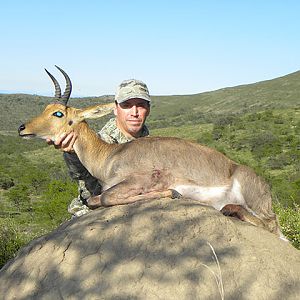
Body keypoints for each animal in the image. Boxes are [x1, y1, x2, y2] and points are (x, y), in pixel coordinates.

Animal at [18, 66, 286, 239]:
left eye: (58, 113)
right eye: (46, 108)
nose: (22, 128)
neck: (110, 156)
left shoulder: (140, 179)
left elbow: (104, 198)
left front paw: (171, 192)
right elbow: (96, 199)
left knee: (272, 226)